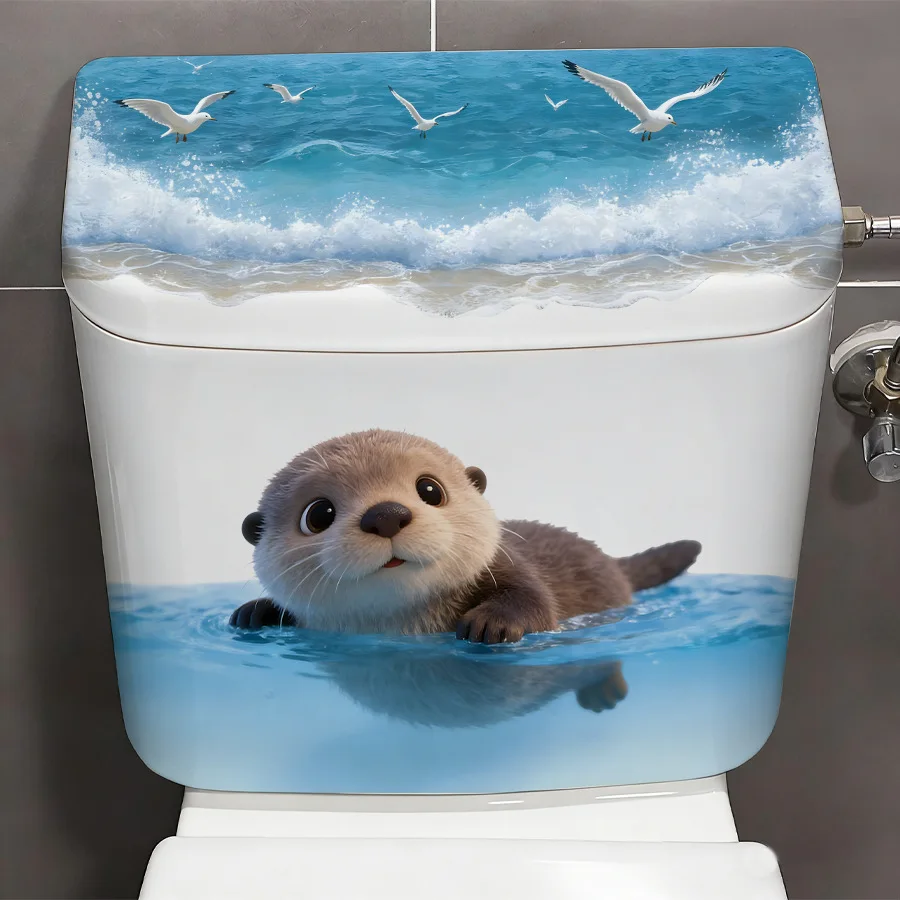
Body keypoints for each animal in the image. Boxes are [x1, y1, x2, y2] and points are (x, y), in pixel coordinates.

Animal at [229, 429, 701, 645]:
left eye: (429, 489)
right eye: (318, 514)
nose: (386, 515)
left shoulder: (509, 567)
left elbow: (537, 603)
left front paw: (494, 622)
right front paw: (256, 611)